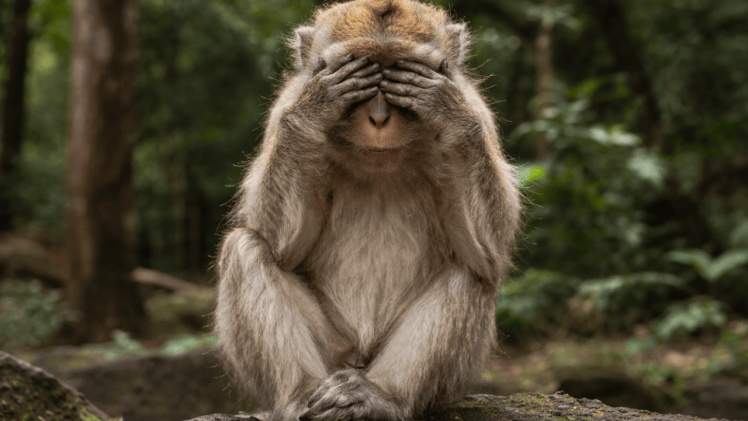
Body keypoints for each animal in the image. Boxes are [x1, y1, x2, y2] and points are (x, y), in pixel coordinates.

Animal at [213, 1, 522, 421]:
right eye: (357, 69)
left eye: (401, 72)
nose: (378, 119)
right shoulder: (282, 112)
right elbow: (278, 245)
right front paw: (317, 105)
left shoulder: (480, 116)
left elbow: (490, 257)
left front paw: (444, 106)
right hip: (335, 352)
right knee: (244, 249)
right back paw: (298, 395)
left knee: (470, 272)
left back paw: (380, 396)